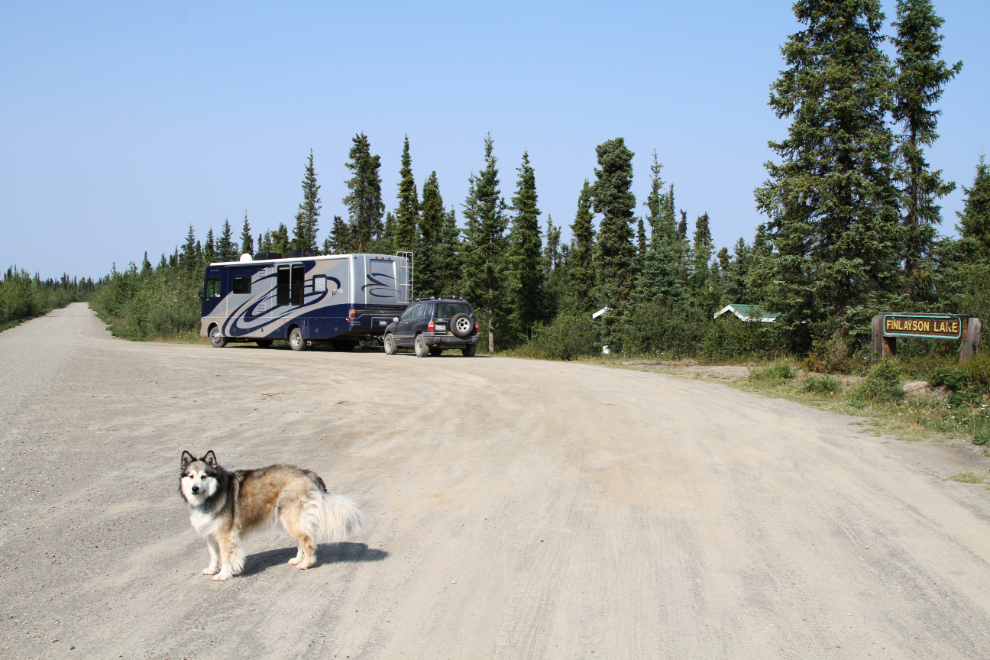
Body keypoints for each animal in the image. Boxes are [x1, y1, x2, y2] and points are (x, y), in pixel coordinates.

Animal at [178, 452, 364, 580]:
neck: (214, 493)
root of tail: (307, 473)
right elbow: (214, 555)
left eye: (204, 476)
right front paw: (212, 569)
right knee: (301, 542)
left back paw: (306, 564)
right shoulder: (210, 533)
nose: (195, 488)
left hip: (292, 518)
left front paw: (223, 575)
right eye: (191, 476)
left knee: (307, 542)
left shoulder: (225, 534)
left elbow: (225, 556)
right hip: (289, 520)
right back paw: (298, 560)